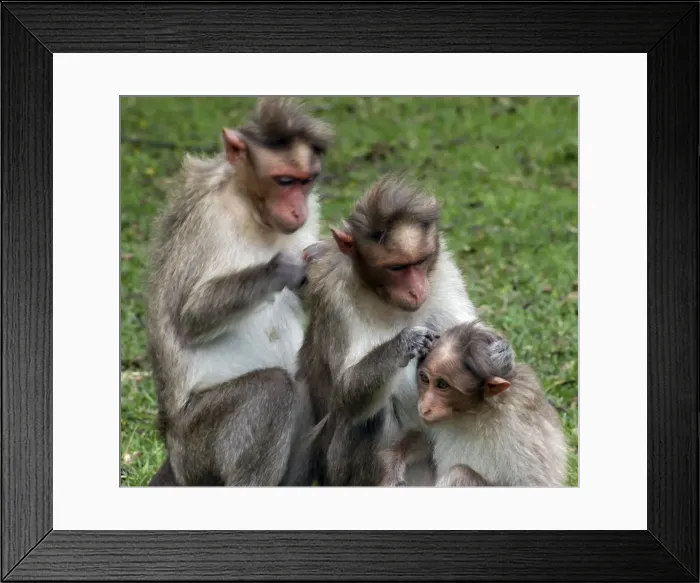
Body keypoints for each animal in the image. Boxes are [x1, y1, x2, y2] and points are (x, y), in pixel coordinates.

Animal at [144, 97, 335, 487]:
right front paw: (281, 269)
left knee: (308, 386)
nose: (298, 209)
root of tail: (171, 445)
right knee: (273, 389)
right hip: (196, 448)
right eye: (284, 181)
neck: (250, 207)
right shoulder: (205, 218)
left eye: (306, 182)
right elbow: (189, 317)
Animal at [296, 173, 505, 486]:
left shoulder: (443, 271)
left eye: (420, 261)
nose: (417, 289)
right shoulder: (332, 295)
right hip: (337, 472)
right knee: (370, 415)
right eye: (397, 267)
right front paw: (405, 342)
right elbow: (344, 393)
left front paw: (499, 351)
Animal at [378, 320, 568, 487]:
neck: (475, 412)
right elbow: (422, 436)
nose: (424, 407)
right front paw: (391, 466)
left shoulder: (520, 421)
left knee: (460, 474)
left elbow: (533, 482)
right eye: (425, 379)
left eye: (442, 385)